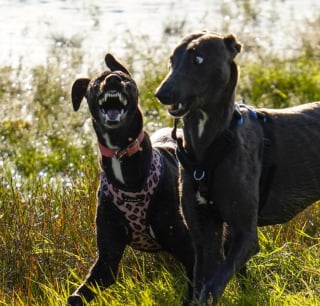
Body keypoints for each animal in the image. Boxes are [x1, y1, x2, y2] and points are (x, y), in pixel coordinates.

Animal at [67, 53, 195, 304]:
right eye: (97, 82)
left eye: (125, 79)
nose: (113, 80)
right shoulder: (106, 259)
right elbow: (78, 296)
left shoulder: (187, 245)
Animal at [156, 28, 320, 304]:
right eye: (171, 59)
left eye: (198, 59)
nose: (161, 93)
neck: (208, 150)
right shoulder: (203, 238)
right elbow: (201, 285)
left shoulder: (246, 235)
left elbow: (213, 287)